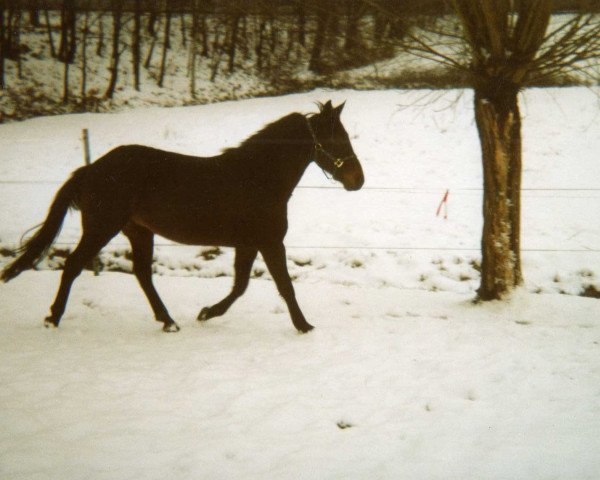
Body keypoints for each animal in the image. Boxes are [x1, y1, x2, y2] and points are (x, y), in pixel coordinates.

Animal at [1, 100, 366, 334]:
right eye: (337, 138)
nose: (358, 180)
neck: (257, 177)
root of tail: (90, 169)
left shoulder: (248, 244)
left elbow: (240, 286)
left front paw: (206, 313)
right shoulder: (269, 242)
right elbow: (284, 286)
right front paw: (305, 326)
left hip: (138, 231)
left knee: (142, 274)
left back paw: (169, 321)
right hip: (102, 228)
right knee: (74, 265)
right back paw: (52, 319)